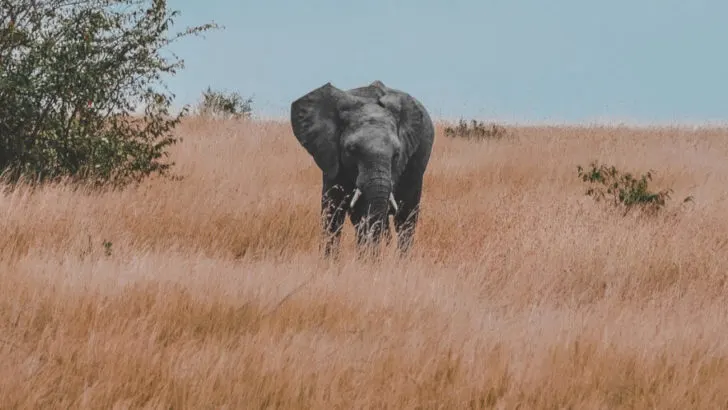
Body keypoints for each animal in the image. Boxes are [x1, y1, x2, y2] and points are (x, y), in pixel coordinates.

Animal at [290, 80, 435, 257]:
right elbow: (333, 209)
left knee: (406, 219)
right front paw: (331, 261)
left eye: (397, 154)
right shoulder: (330, 155)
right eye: (351, 150)